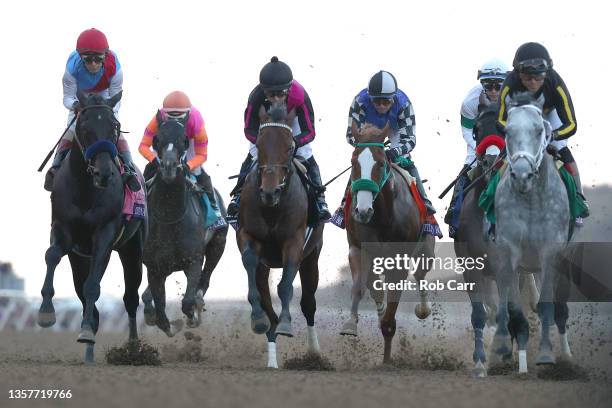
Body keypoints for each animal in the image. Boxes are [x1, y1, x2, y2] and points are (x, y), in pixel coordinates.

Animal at [38, 92, 145, 364]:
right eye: (85, 128)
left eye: (115, 127)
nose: (104, 173)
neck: (85, 187)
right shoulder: (63, 229)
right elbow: (52, 255)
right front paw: (46, 312)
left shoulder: (104, 234)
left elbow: (92, 286)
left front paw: (85, 330)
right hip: (79, 258)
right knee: (82, 289)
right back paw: (89, 352)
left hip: (132, 249)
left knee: (130, 297)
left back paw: (133, 347)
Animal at [141, 113, 227, 336]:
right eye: (158, 139)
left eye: (184, 140)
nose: (169, 167)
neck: (170, 218)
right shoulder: (155, 267)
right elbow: (160, 310)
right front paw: (162, 321)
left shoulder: (194, 260)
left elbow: (187, 302)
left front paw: (191, 317)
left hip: (218, 244)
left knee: (205, 278)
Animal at [235, 103, 326, 368]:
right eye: (259, 144)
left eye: (289, 147)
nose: (269, 192)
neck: (272, 208)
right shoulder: (247, 235)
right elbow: (249, 262)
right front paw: (257, 318)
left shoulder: (294, 242)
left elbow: (286, 285)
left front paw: (286, 324)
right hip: (265, 266)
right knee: (268, 307)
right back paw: (272, 357)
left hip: (312, 257)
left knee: (308, 304)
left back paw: (314, 353)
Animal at [340, 122, 436, 364]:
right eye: (353, 163)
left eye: (381, 163)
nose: (362, 211)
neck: (382, 217)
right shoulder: (357, 249)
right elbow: (359, 287)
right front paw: (350, 324)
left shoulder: (399, 261)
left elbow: (393, 302)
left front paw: (387, 356)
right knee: (374, 287)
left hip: (426, 248)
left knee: (420, 274)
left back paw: (423, 308)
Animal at [490, 94, 572, 374]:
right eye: (507, 131)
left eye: (539, 130)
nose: (522, 176)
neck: (531, 199)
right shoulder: (508, 250)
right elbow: (512, 307)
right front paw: (507, 351)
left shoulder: (551, 252)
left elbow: (546, 304)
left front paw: (546, 355)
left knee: (560, 309)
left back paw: (566, 356)